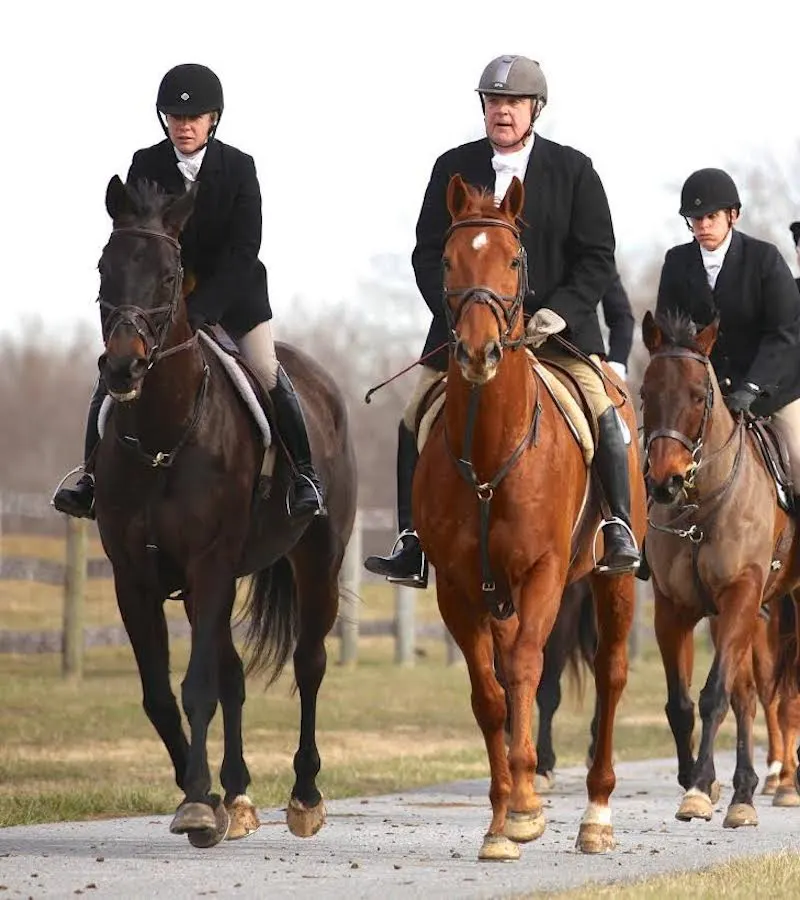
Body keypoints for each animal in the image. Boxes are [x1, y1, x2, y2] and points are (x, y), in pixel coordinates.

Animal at [92, 179, 358, 848]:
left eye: (168, 276)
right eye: (105, 267)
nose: (123, 367)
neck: (163, 435)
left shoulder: (209, 566)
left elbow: (196, 687)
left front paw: (195, 801)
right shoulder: (136, 578)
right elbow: (162, 694)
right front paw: (205, 798)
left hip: (317, 562)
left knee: (309, 664)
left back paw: (305, 796)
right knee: (234, 674)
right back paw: (236, 796)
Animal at [416, 174, 648, 856]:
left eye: (514, 260)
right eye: (447, 260)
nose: (478, 351)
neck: (492, 452)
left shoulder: (543, 574)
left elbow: (524, 670)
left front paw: (523, 808)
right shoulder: (459, 589)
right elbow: (490, 694)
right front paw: (500, 820)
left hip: (611, 581)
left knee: (610, 675)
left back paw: (596, 813)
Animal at [640, 312, 800, 828]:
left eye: (698, 395)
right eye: (646, 391)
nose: (665, 481)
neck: (701, 503)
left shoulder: (740, 595)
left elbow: (714, 696)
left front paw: (697, 788)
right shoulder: (675, 610)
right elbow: (682, 704)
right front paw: (700, 784)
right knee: (748, 694)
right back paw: (746, 792)